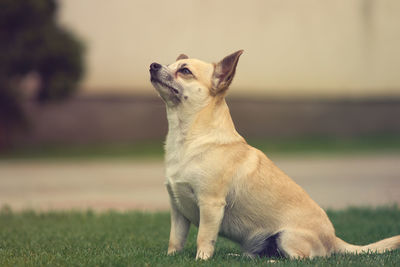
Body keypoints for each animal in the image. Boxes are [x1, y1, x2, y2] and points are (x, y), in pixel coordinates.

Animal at [148, 50, 400, 262]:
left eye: (185, 71)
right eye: (169, 64)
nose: (153, 65)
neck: (185, 138)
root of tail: (333, 239)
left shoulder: (210, 204)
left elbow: (204, 238)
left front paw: (201, 260)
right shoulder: (177, 209)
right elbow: (175, 239)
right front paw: (170, 258)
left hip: (286, 236)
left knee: (302, 259)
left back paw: (271, 261)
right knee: (258, 254)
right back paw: (239, 257)